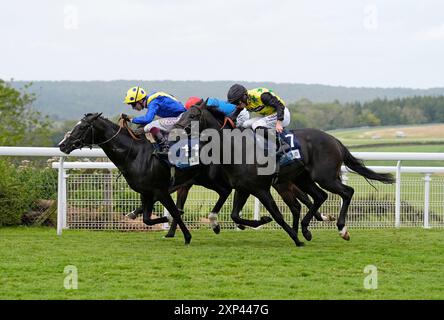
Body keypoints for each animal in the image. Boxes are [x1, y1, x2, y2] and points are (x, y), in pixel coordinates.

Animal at [174, 102, 396, 240]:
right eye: (182, 114)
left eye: (193, 115)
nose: (176, 129)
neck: (235, 147)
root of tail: (335, 140)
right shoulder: (243, 187)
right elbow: (235, 215)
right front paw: (261, 221)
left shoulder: (256, 188)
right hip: (302, 179)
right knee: (318, 197)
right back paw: (305, 229)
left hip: (323, 177)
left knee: (346, 192)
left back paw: (342, 228)